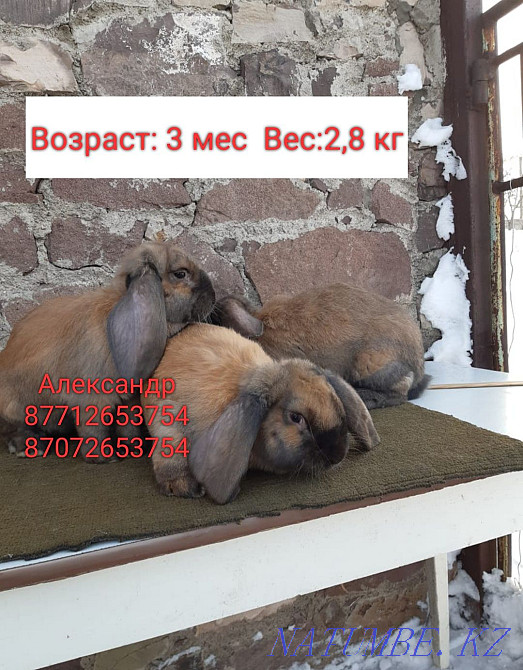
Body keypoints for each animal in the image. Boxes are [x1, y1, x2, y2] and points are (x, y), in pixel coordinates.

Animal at [0, 241, 216, 461]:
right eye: (181, 274)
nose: (214, 296)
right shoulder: (90, 399)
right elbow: (94, 431)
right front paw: (103, 458)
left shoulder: (128, 401)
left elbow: (128, 426)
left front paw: (131, 449)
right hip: (15, 407)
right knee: (12, 428)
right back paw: (26, 448)